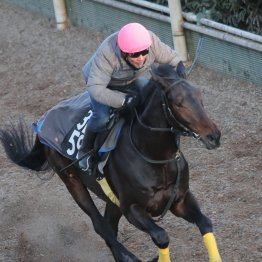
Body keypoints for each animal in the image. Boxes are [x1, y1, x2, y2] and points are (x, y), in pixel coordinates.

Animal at [0, 64, 222, 262]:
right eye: (178, 103)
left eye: (200, 97)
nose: (214, 136)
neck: (153, 156)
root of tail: (42, 122)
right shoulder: (132, 208)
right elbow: (161, 236)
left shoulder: (180, 200)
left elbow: (205, 223)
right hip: (72, 181)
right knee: (101, 226)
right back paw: (130, 257)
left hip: (111, 200)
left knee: (109, 226)